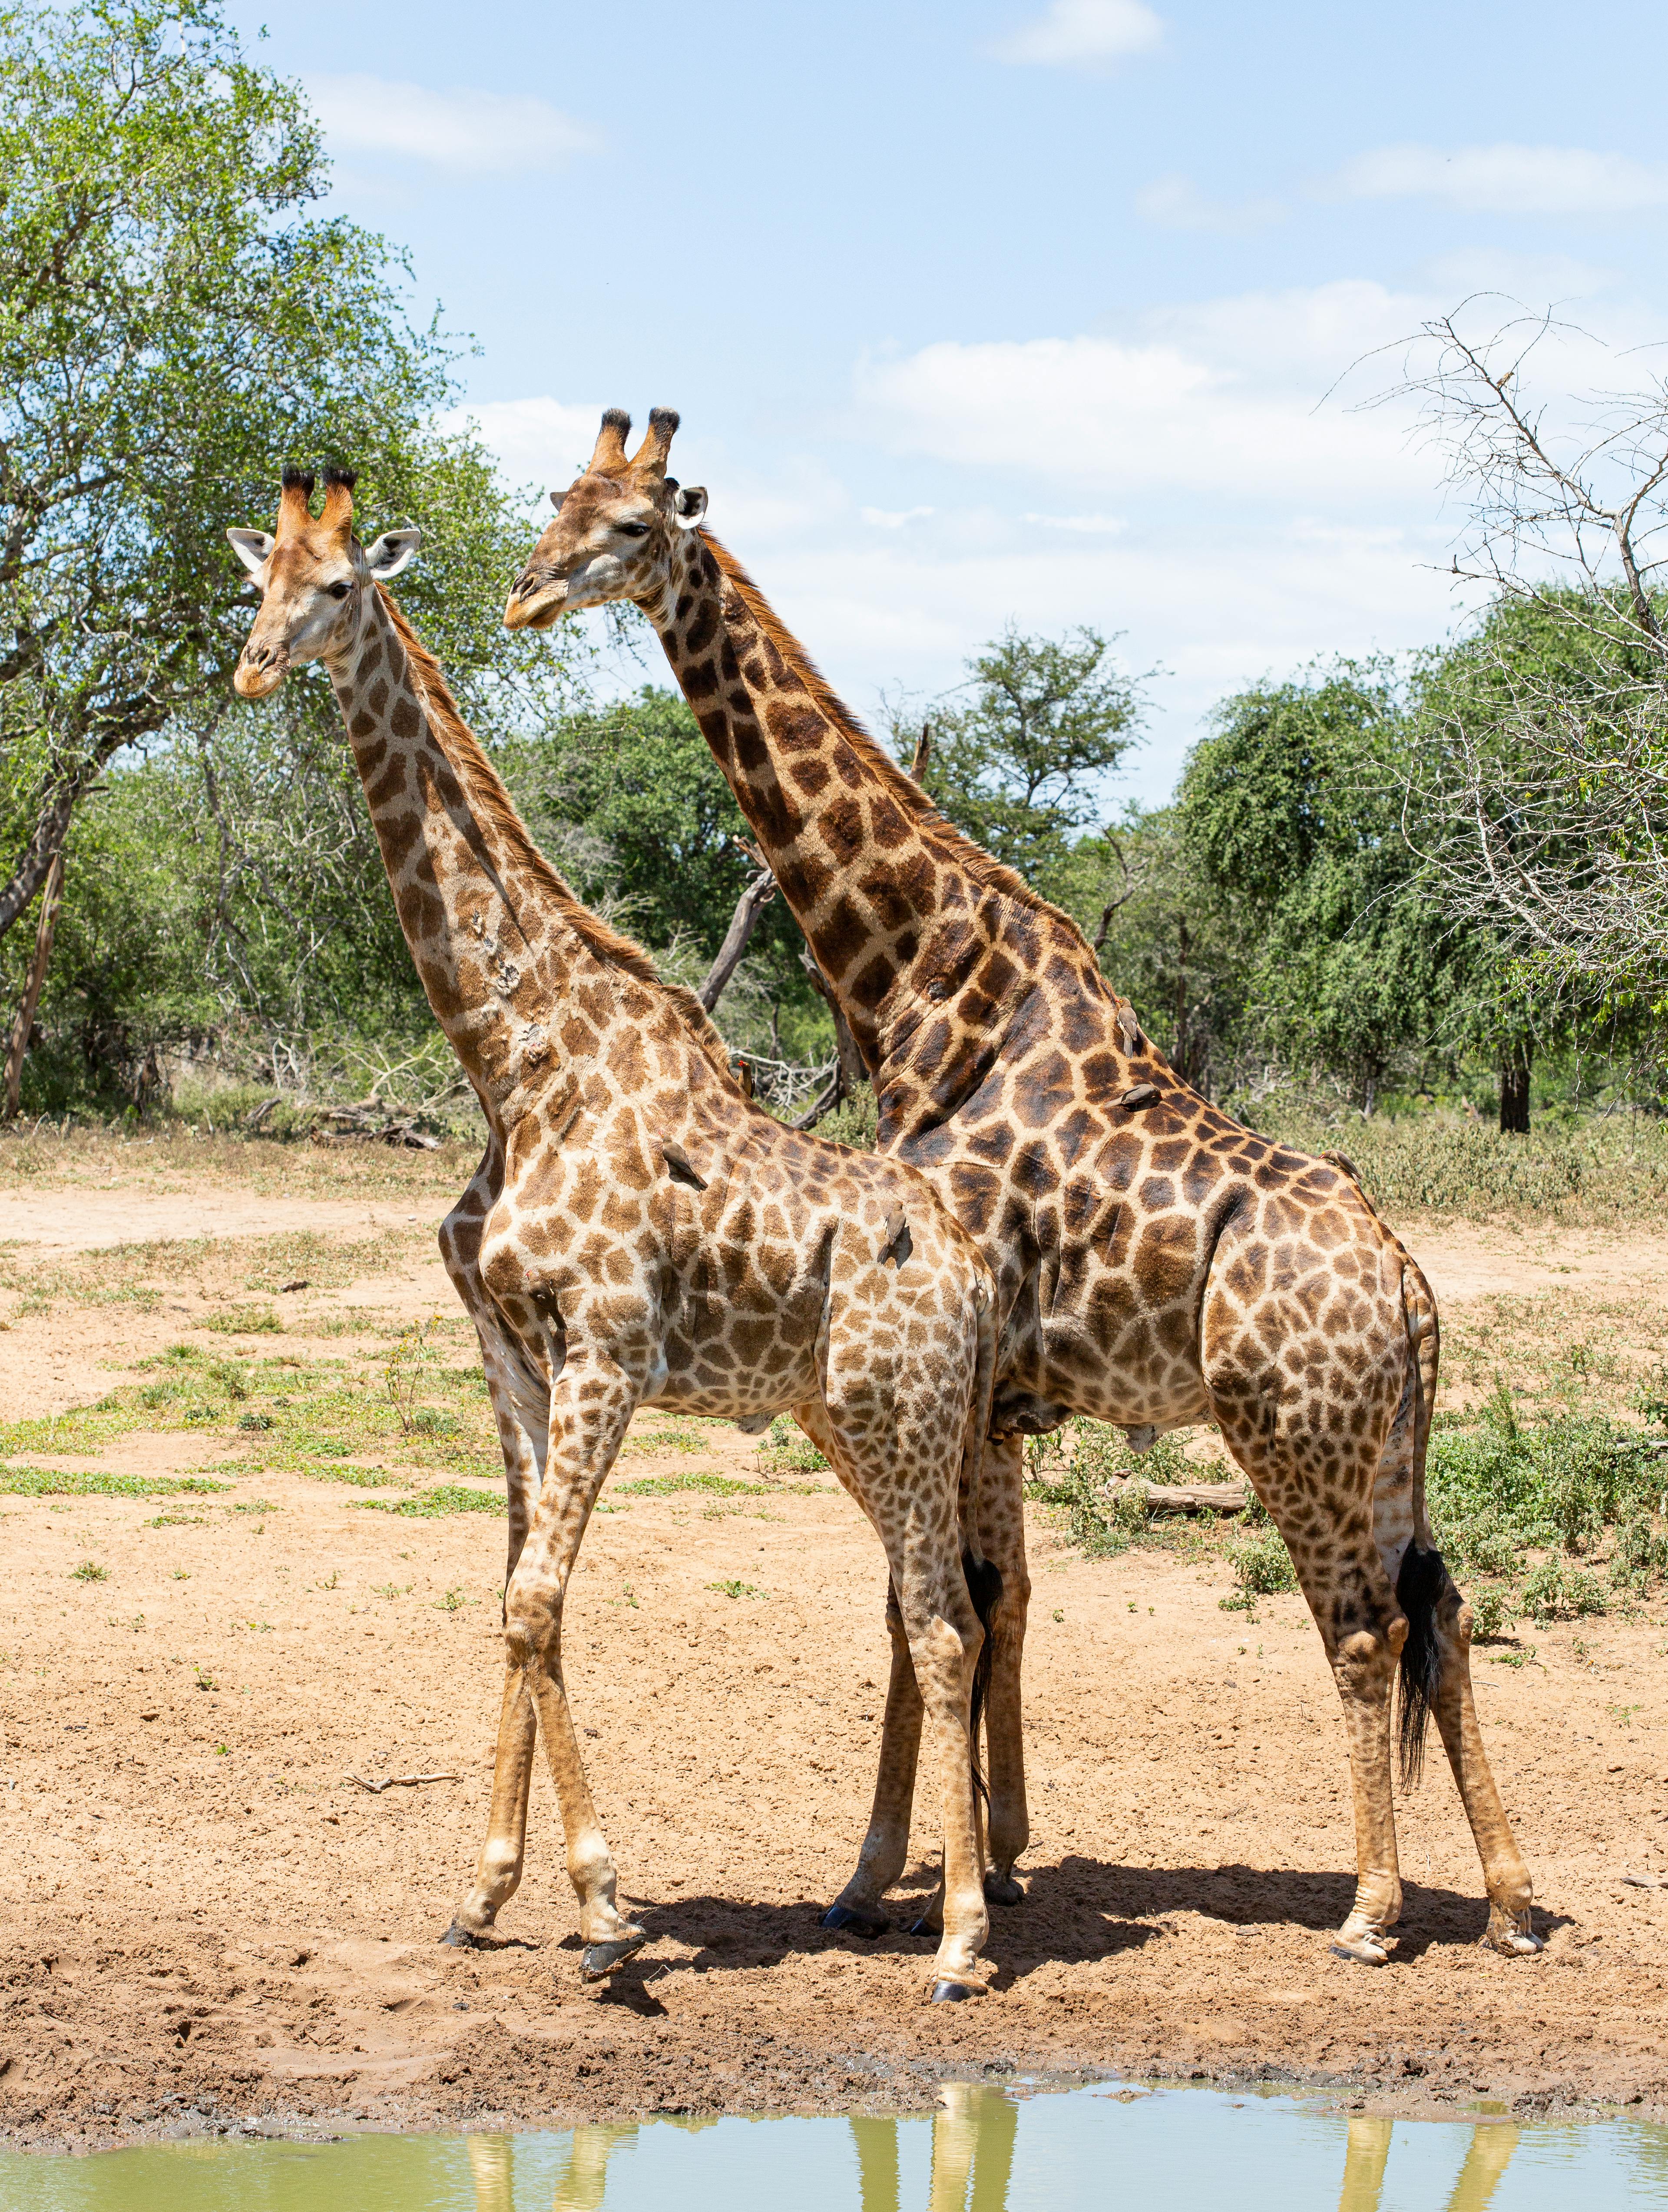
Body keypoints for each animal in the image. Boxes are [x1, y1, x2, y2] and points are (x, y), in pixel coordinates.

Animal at [226, 463, 1008, 2000]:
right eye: (257, 583)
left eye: (339, 586)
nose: (251, 666)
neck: (513, 1064)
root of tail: (968, 1264)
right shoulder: (510, 1351)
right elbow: (521, 1594)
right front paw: (485, 1893)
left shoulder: (606, 1348)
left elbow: (535, 1601)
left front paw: (597, 1908)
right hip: (849, 1417)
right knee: (926, 1607)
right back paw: (901, 1895)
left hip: (901, 1410)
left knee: (946, 1622)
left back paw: (959, 1937)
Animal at [504, 408, 1541, 1966]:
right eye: (556, 501)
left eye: (631, 527)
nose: (525, 594)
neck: (918, 973)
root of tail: (1412, 1284)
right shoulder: (987, 1396)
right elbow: (987, 1604)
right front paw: (981, 1852)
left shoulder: (952, 1376)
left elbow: (935, 1607)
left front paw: (895, 1872)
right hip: (1390, 1440)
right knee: (1446, 1606)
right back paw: (1512, 1899)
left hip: (1292, 1431)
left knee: (1363, 1628)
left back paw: (1370, 1910)